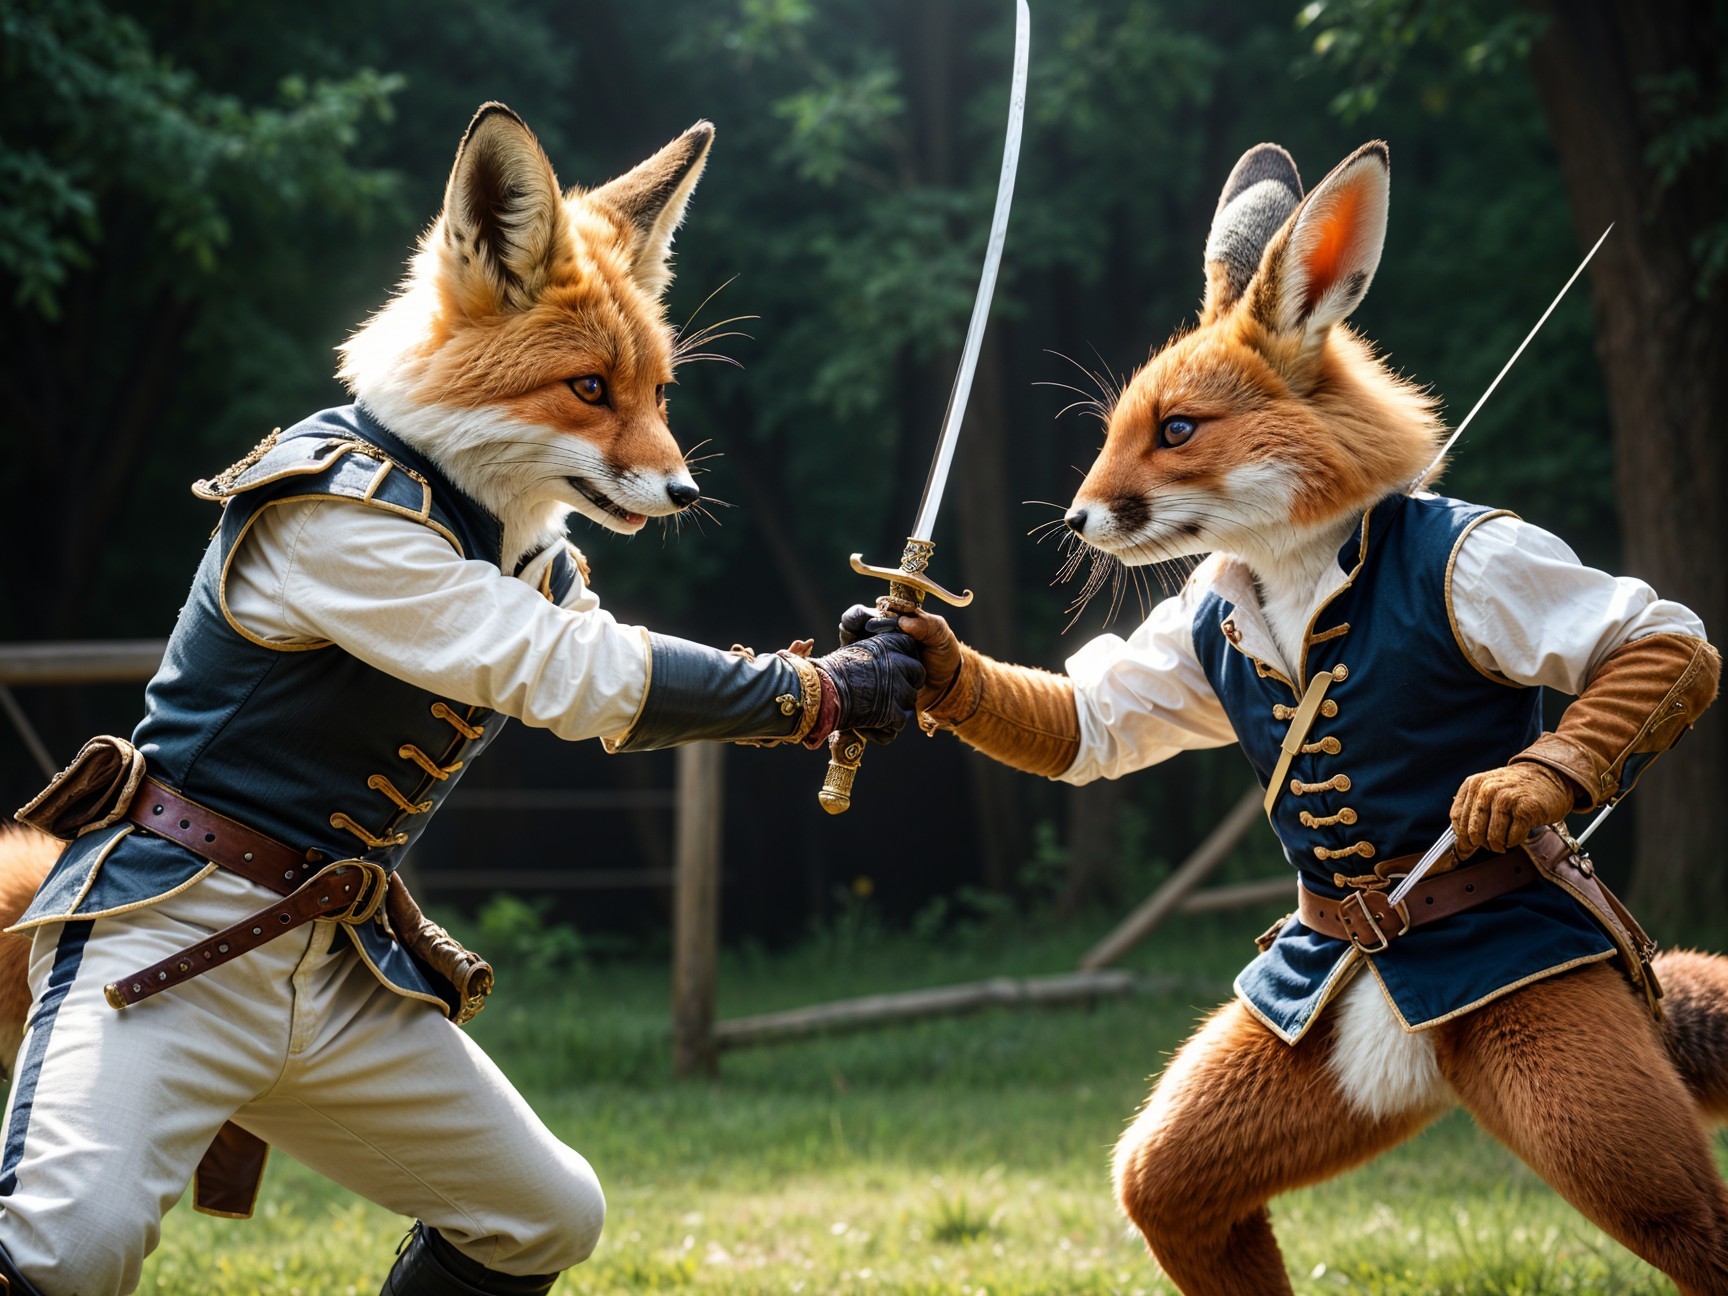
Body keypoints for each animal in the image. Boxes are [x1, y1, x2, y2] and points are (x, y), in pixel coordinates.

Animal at [886, 139, 1728, 1293]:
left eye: (1179, 429)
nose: (1077, 518)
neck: (1304, 568)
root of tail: (1434, 1065)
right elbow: (1088, 724)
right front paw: (917, 654)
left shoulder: (1497, 565)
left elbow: (1667, 636)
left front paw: (1510, 793)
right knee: (1169, 1192)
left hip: (1593, 1114)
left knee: (1696, 1226)